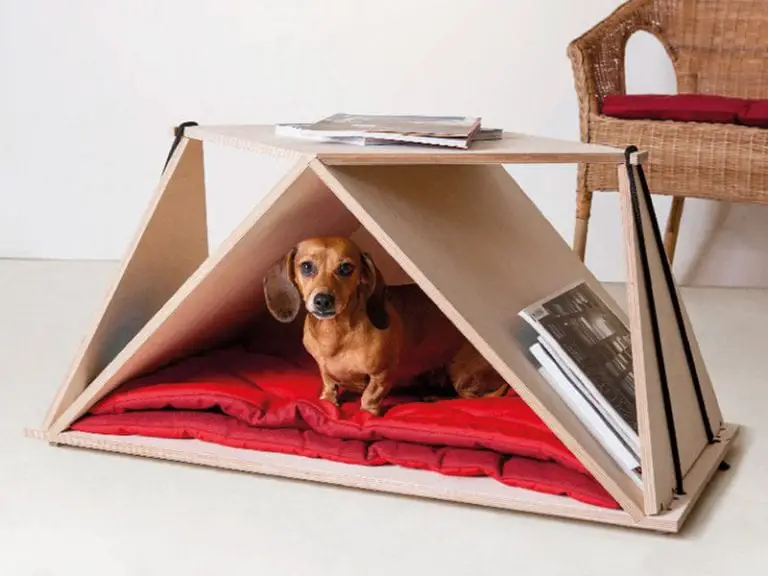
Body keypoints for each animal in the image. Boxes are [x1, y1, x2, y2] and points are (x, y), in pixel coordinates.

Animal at [264, 236, 510, 416]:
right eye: (306, 266)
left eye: (345, 268)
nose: (323, 300)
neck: (336, 335)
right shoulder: (324, 370)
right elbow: (329, 385)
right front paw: (327, 402)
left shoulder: (382, 374)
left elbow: (370, 396)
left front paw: (368, 413)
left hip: (460, 373)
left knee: (468, 395)